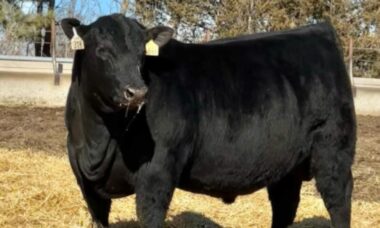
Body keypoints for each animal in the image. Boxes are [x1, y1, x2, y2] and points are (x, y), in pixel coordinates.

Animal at [62, 13, 356, 228]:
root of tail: (319, 30)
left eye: (142, 55)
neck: (97, 138)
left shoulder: (156, 176)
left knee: (338, 201)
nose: (137, 92)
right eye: (102, 50)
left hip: (333, 152)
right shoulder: (86, 185)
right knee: (285, 204)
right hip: (288, 164)